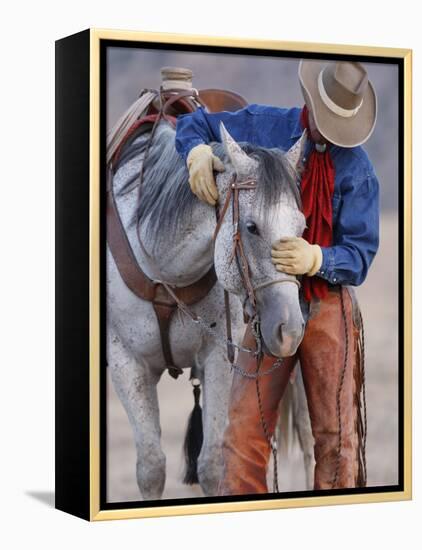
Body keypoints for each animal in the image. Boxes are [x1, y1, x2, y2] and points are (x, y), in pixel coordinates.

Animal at [106, 123, 306, 502]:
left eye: (302, 228)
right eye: (252, 227)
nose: (289, 330)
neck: (164, 270)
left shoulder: (218, 358)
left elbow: (211, 465)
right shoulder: (126, 363)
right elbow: (151, 467)